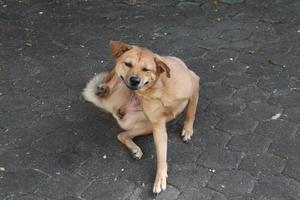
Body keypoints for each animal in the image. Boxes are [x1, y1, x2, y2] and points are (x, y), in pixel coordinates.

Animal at [82, 41, 199, 195]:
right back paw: (104, 88)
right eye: (128, 64)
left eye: (146, 69)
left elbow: (191, 111)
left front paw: (187, 130)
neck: (157, 89)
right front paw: (160, 177)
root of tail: (115, 106)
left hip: (146, 125)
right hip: (145, 122)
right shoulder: (157, 126)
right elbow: (161, 154)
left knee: (122, 134)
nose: (134, 80)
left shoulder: (195, 83)